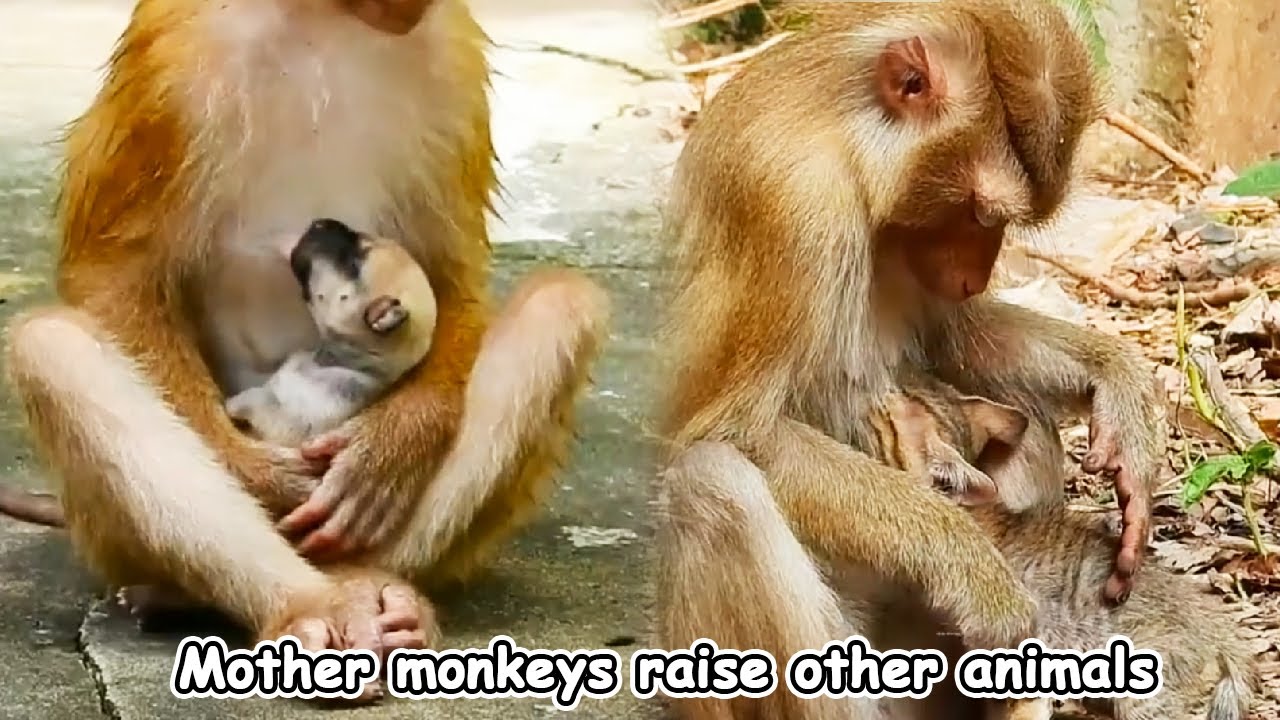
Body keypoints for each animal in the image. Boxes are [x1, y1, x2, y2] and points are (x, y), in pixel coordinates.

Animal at [655, 1, 1165, 718]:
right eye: (981, 213)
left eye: (996, 223)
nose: (975, 275)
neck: (848, 146)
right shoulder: (793, 204)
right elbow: (736, 429)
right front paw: (969, 566)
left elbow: (958, 340)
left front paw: (1121, 388)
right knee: (713, 483)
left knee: (1024, 418)